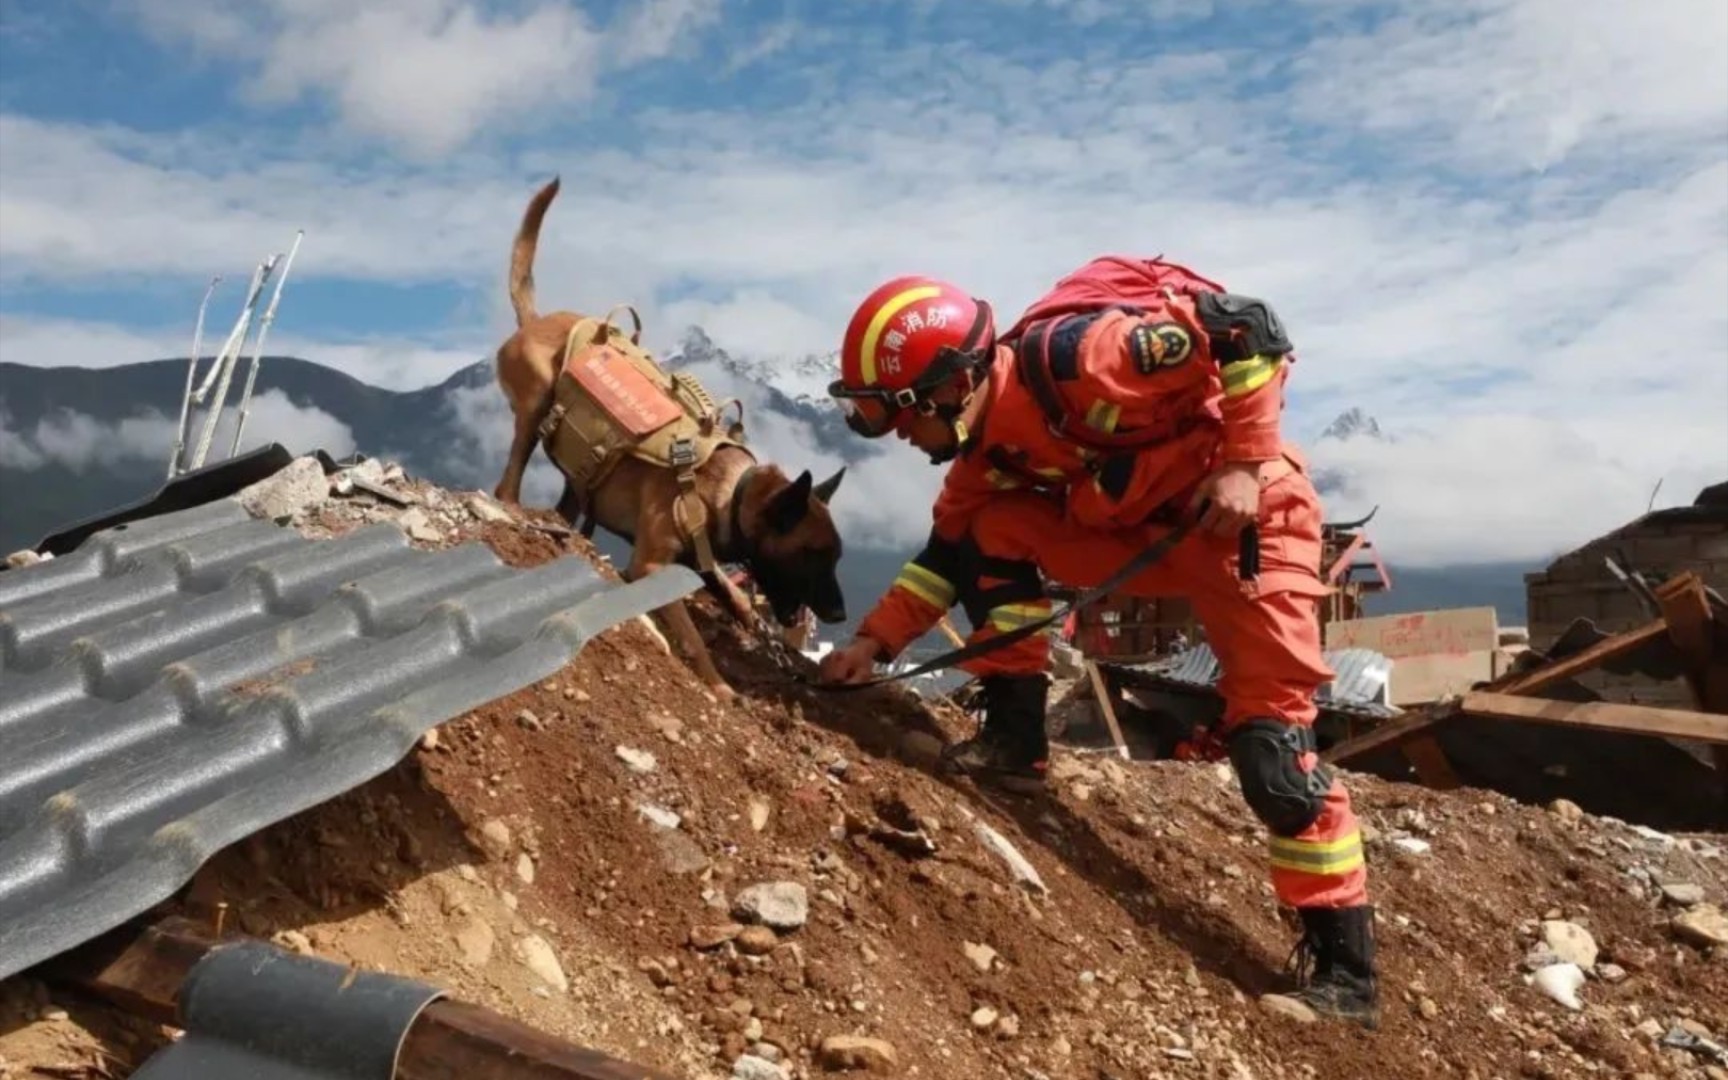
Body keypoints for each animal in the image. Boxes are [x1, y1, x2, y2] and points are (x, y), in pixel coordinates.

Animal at [490, 177, 846, 694]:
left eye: (836, 557)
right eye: (812, 555)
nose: (839, 615)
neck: (731, 492)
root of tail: (536, 320)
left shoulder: (705, 564)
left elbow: (737, 600)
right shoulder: (651, 567)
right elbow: (691, 635)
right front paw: (717, 683)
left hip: (579, 478)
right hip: (535, 406)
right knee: (509, 476)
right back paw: (513, 502)